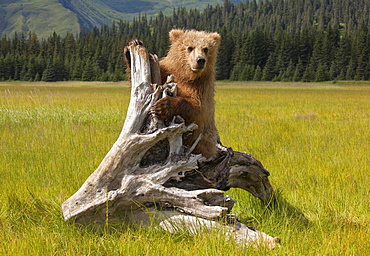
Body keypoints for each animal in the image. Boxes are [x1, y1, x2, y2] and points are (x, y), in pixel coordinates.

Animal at [125, 29, 221, 159]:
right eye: (190, 48)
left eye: (206, 49)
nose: (200, 60)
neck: (186, 76)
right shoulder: (166, 72)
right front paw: (134, 43)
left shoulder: (202, 87)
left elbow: (198, 107)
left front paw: (161, 107)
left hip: (204, 140)